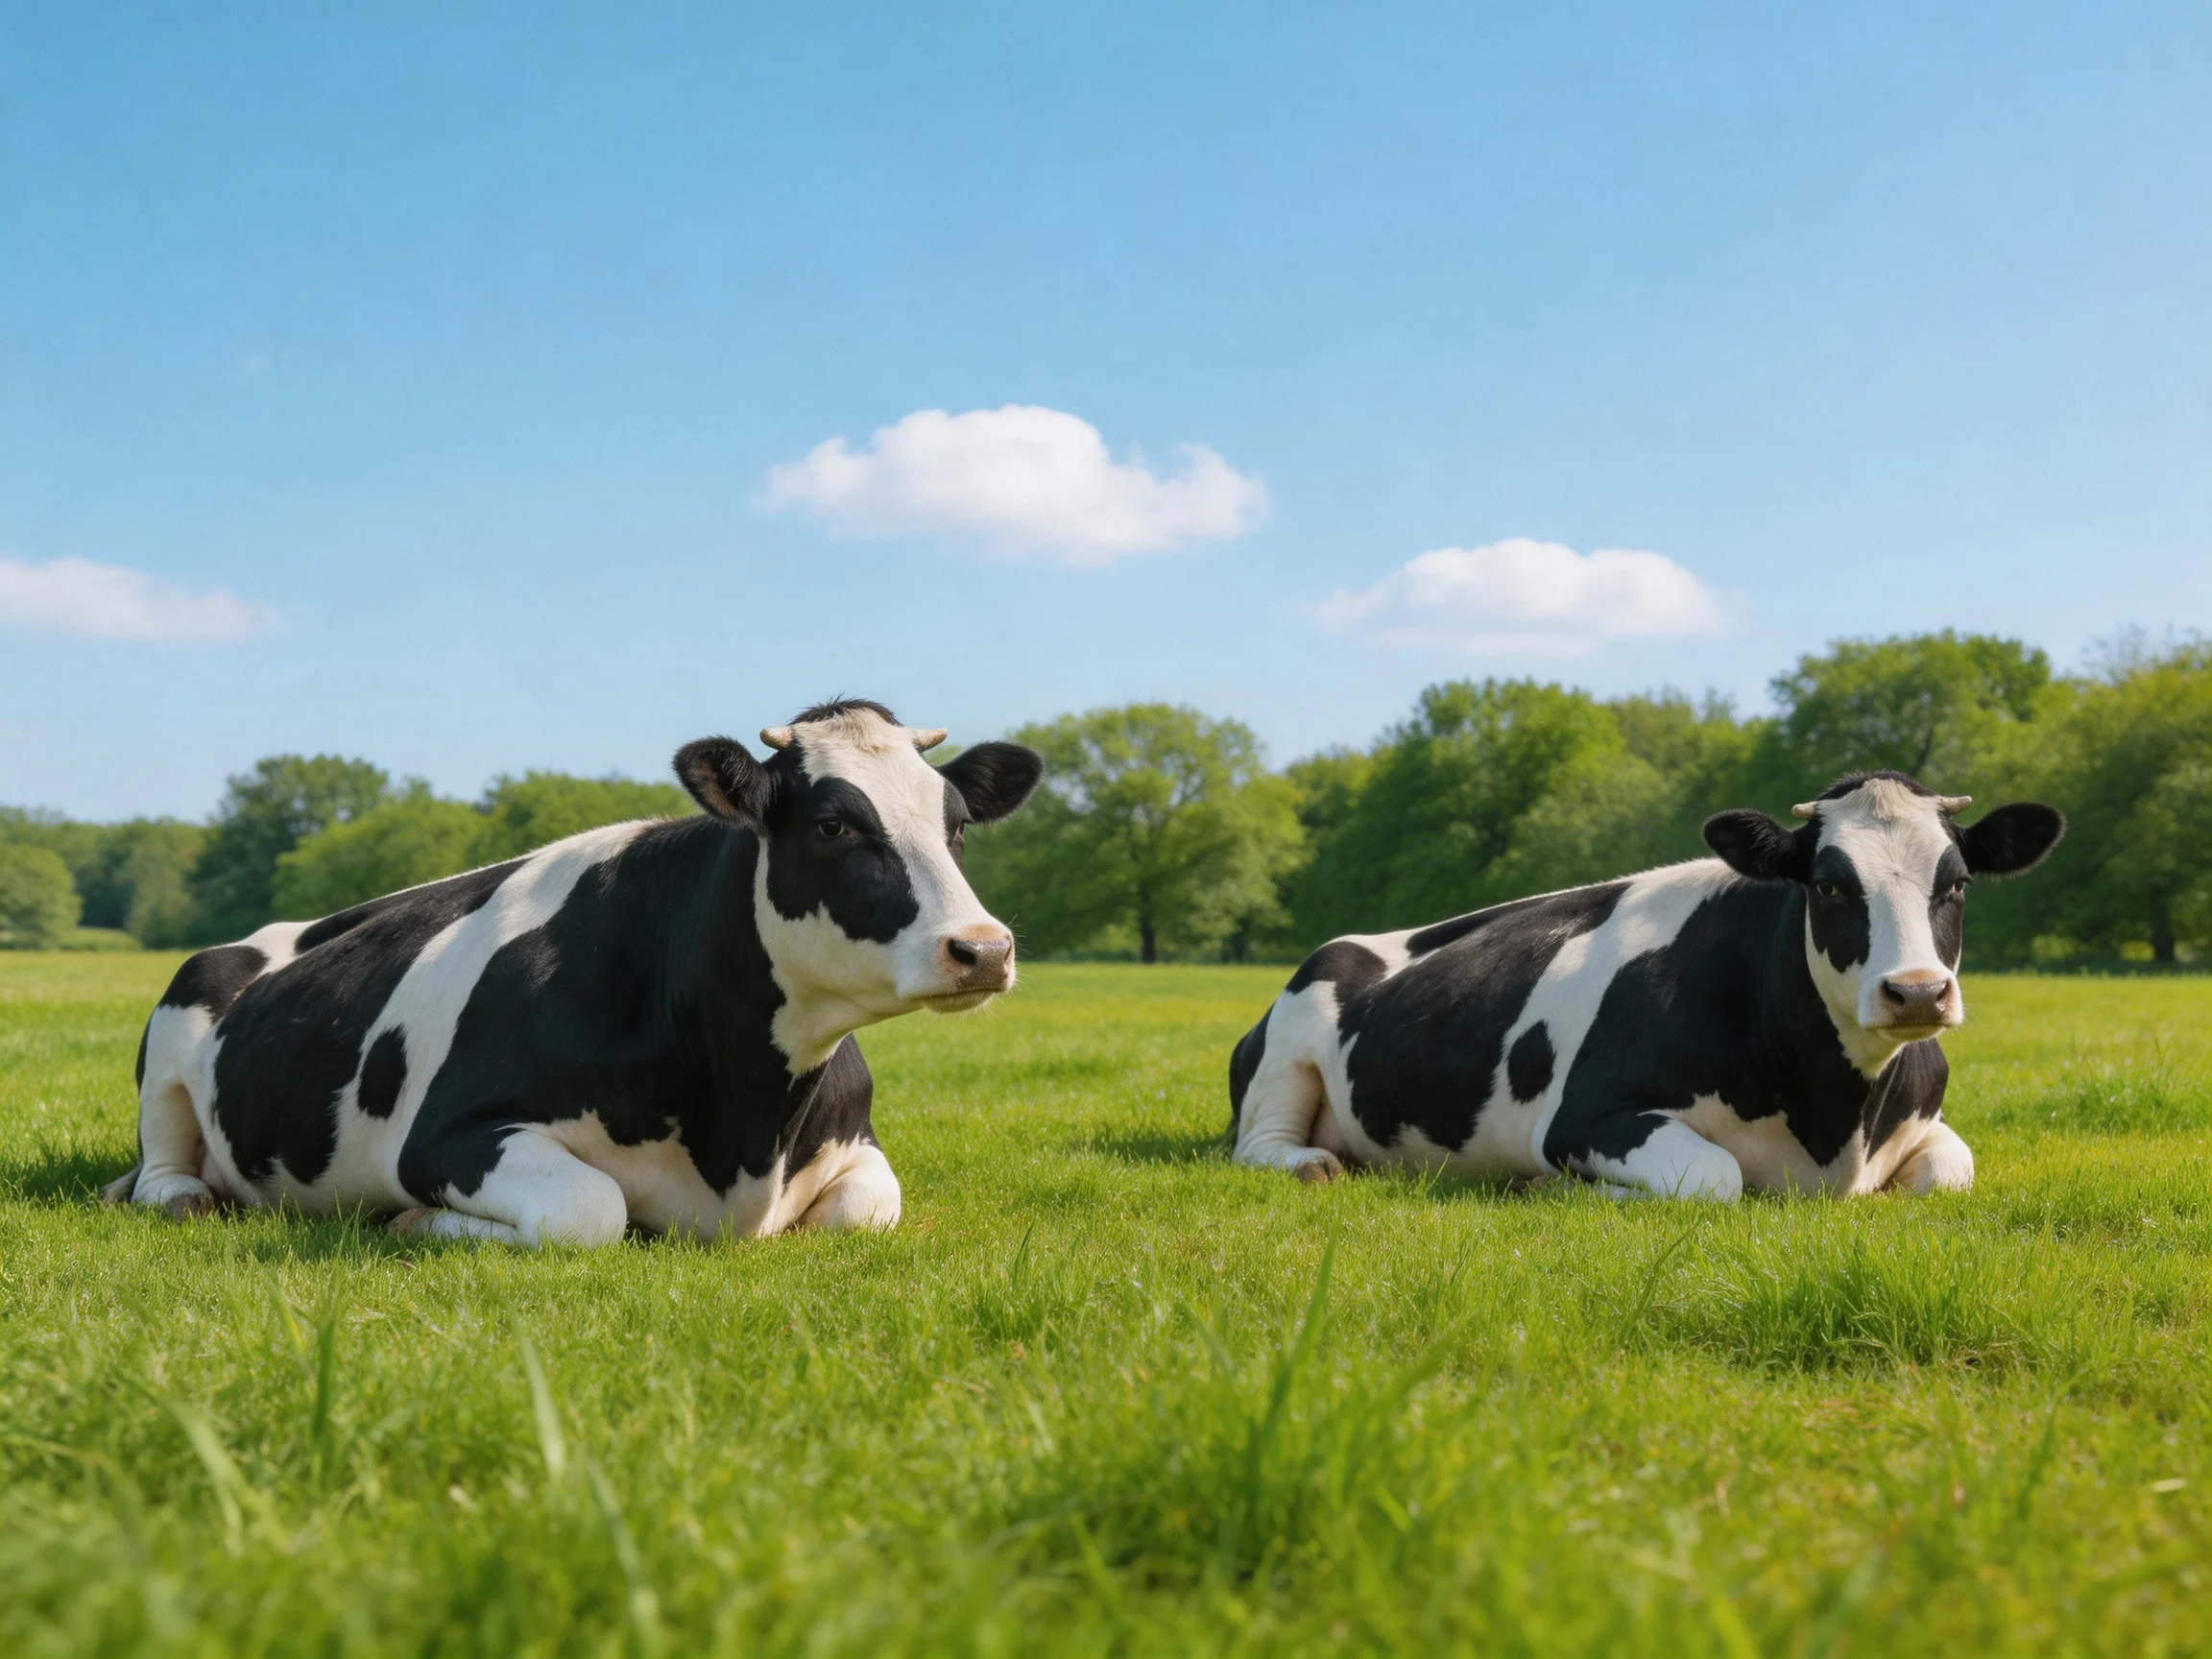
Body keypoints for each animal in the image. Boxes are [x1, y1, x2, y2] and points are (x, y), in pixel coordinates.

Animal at [102, 701, 1043, 1245]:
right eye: (832, 826)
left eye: (957, 826)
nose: (984, 949)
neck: (748, 1131)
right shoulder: (445, 1137)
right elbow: (590, 1213)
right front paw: (414, 1220)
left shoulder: (857, 1147)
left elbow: (861, 1215)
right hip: (178, 1016)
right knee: (164, 1170)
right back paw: (183, 1195)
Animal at [1227, 772, 2065, 1200]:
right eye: (1827, 885)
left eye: (1956, 884)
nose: (1917, 992)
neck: (1837, 1123)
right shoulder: (1584, 1119)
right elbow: (1715, 1177)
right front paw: (1563, 1190)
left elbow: (1949, 1177)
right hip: (1297, 1028)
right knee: (1260, 1144)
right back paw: (1309, 1164)